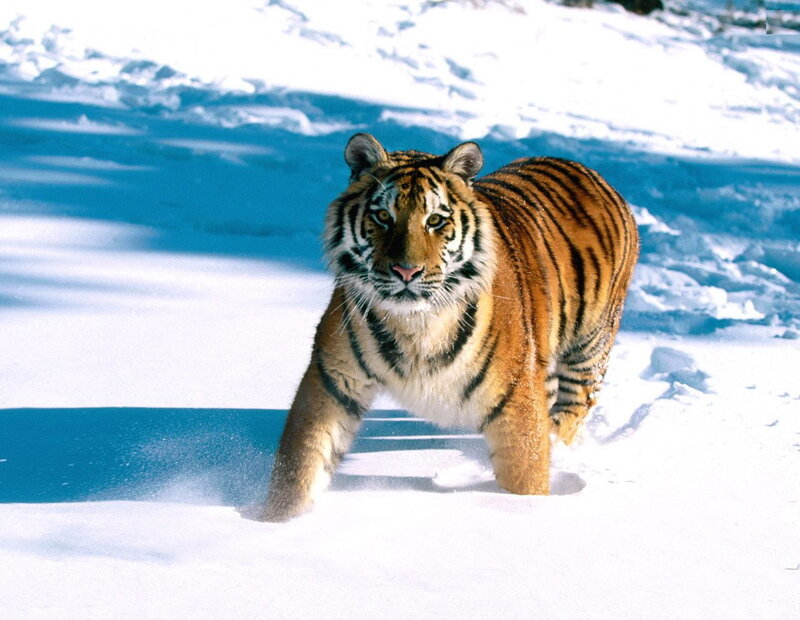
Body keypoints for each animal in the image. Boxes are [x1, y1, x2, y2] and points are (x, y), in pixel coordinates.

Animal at [258, 133, 639, 522]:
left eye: (436, 220)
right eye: (383, 216)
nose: (406, 271)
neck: (414, 324)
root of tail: (586, 169)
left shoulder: (516, 400)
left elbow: (525, 474)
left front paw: (524, 508)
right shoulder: (333, 378)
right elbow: (302, 462)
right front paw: (272, 520)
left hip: (588, 348)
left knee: (573, 408)